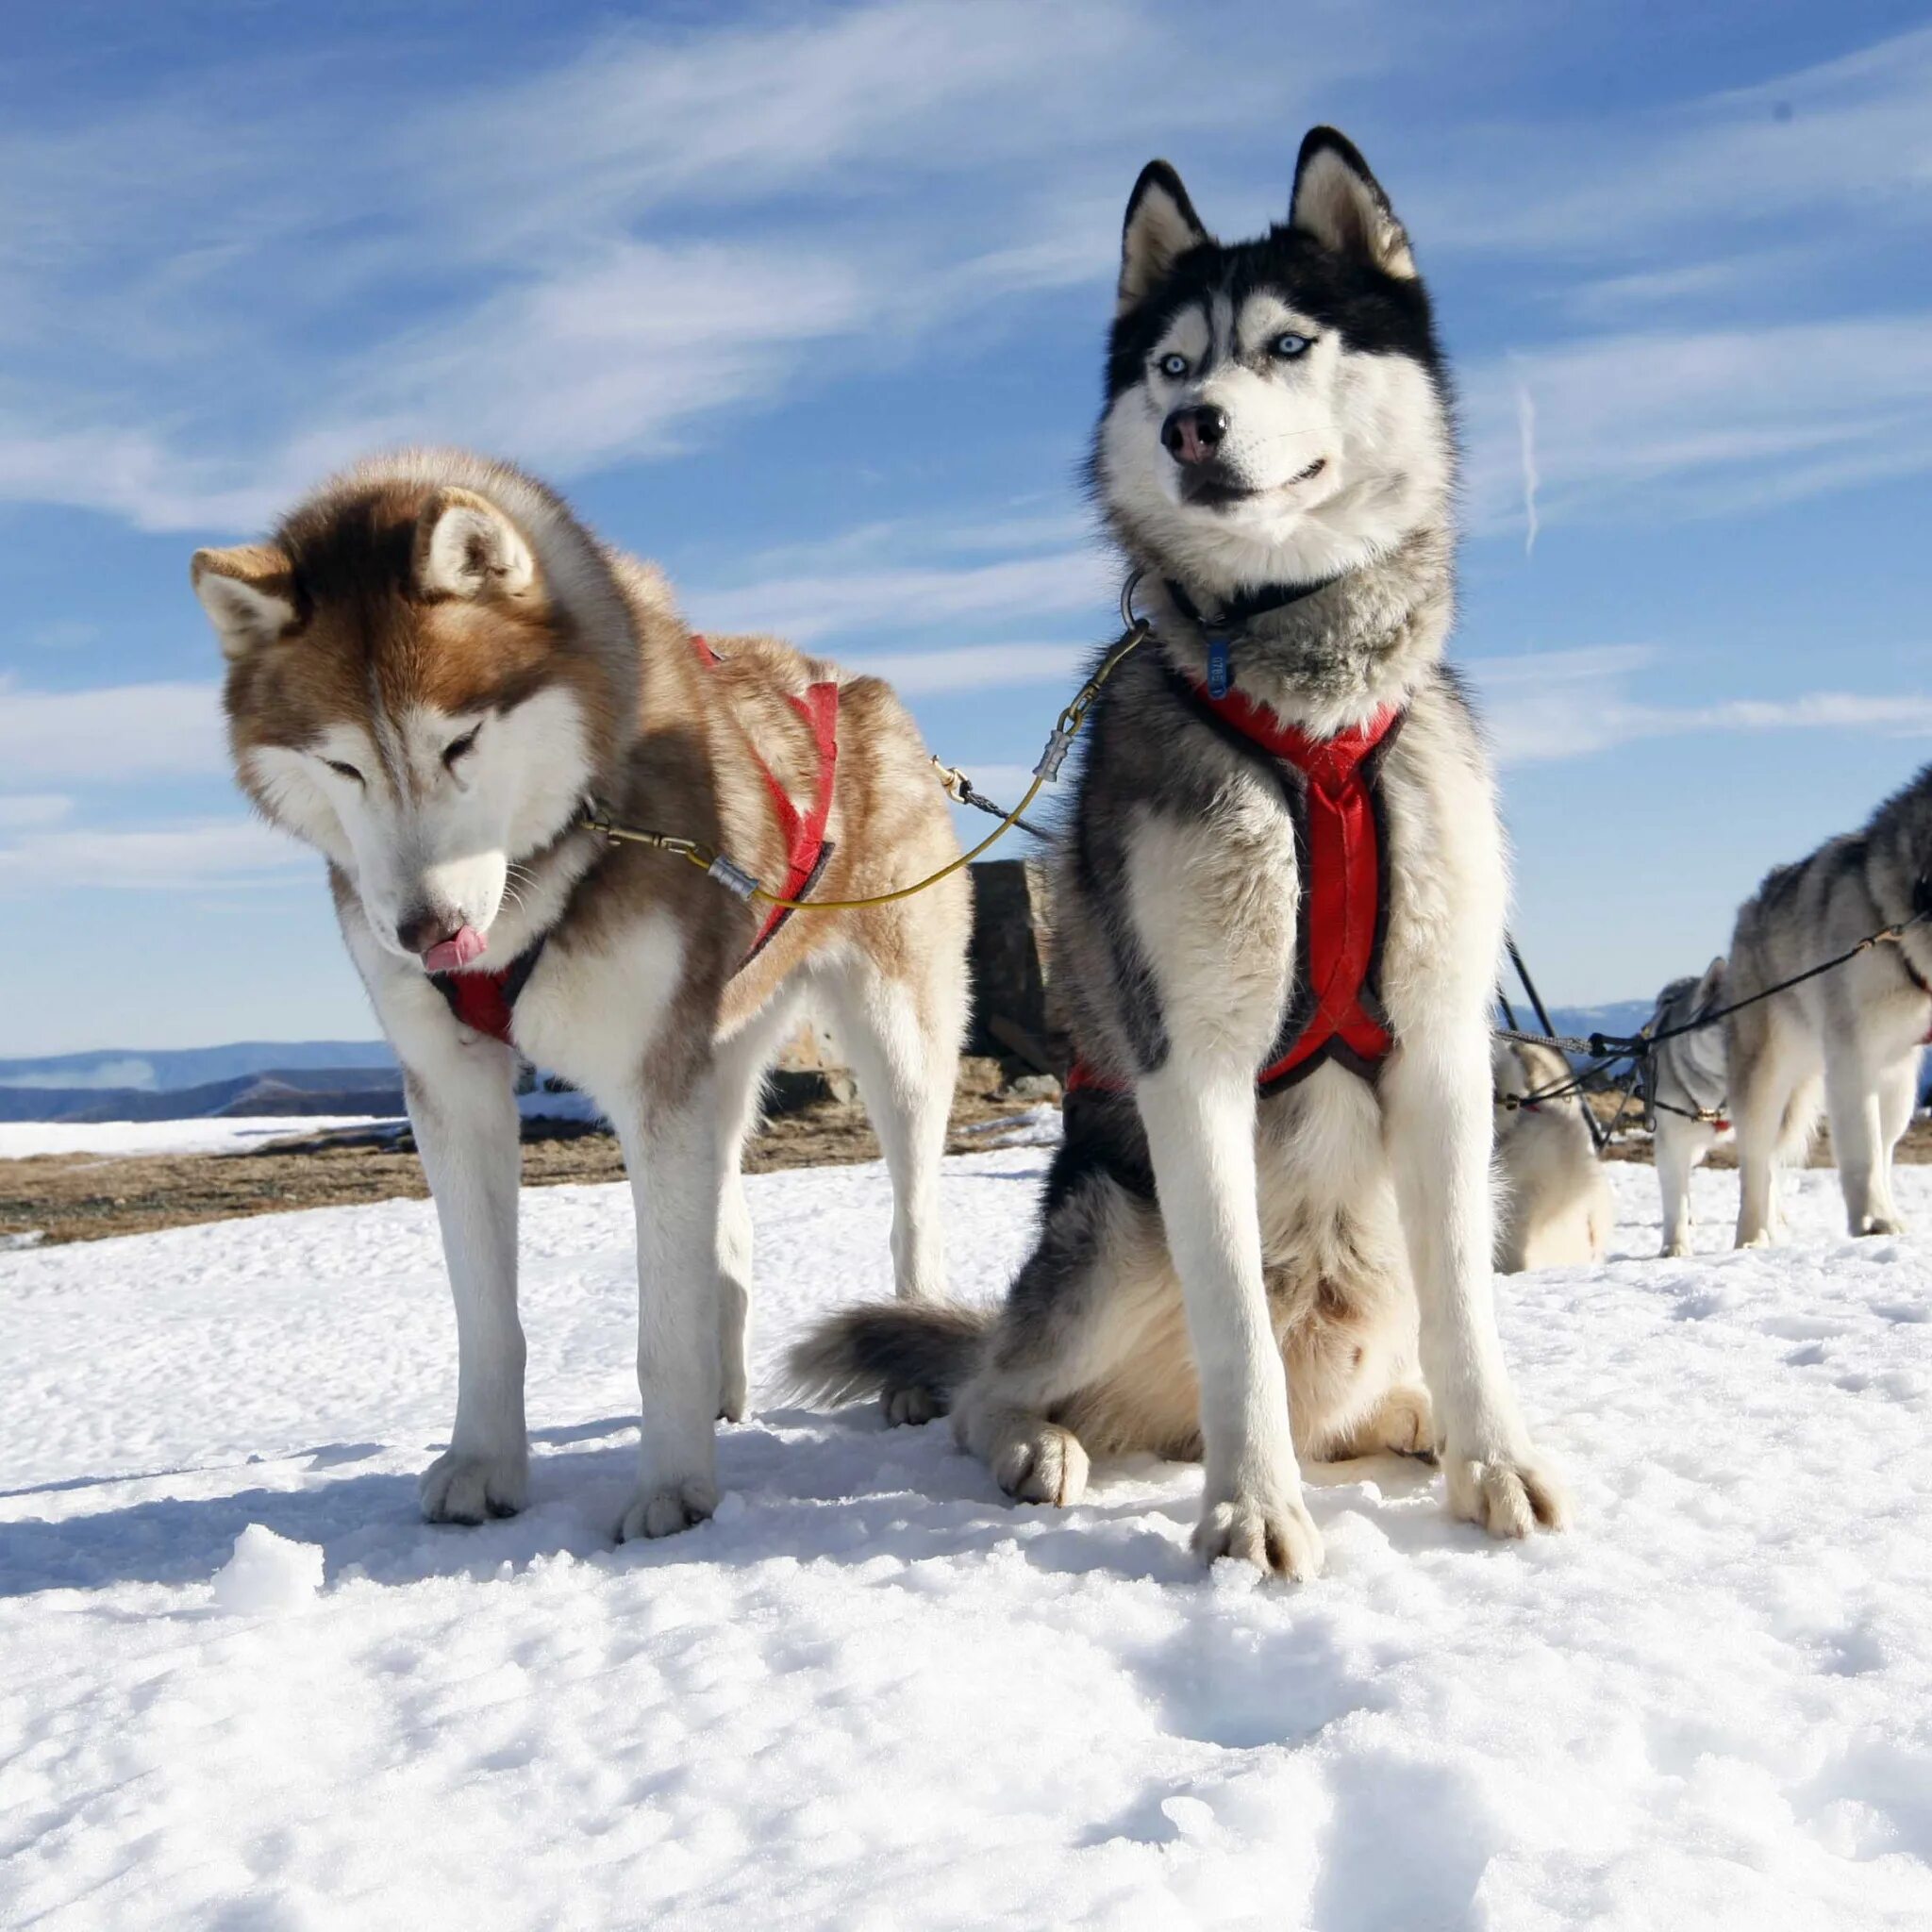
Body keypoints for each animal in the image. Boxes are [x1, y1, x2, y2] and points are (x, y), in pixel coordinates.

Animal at [195, 452, 966, 1538]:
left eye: (460, 742)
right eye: (341, 762)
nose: (425, 932)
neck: (550, 858)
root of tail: (849, 687)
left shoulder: (650, 1079)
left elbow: (660, 1326)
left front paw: (673, 1488)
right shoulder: (452, 1085)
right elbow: (487, 1316)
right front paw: (484, 1461)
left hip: (893, 1034)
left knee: (909, 1207)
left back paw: (907, 1353)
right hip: (720, 1046)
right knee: (728, 1224)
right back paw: (727, 1388)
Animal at [791, 132, 1560, 1568]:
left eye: (1287, 343)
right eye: (1169, 363)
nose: (1189, 424)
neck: (1307, 710)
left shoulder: (1439, 1048)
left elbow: (1470, 1312)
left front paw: (1495, 1462)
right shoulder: (1190, 1059)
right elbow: (1234, 1330)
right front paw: (1250, 1516)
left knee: (1375, 1374)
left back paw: (1414, 1421)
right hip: (1107, 1220)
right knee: (992, 1386)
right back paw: (1041, 1442)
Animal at [1723, 773, 1932, 1252]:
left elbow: (1876, 1149)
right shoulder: (1854, 1056)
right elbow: (1861, 1148)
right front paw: (1873, 1221)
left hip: (1898, 1079)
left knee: (1885, 1141)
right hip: (1766, 1076)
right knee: (1756, 1161)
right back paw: (1752, 1237)